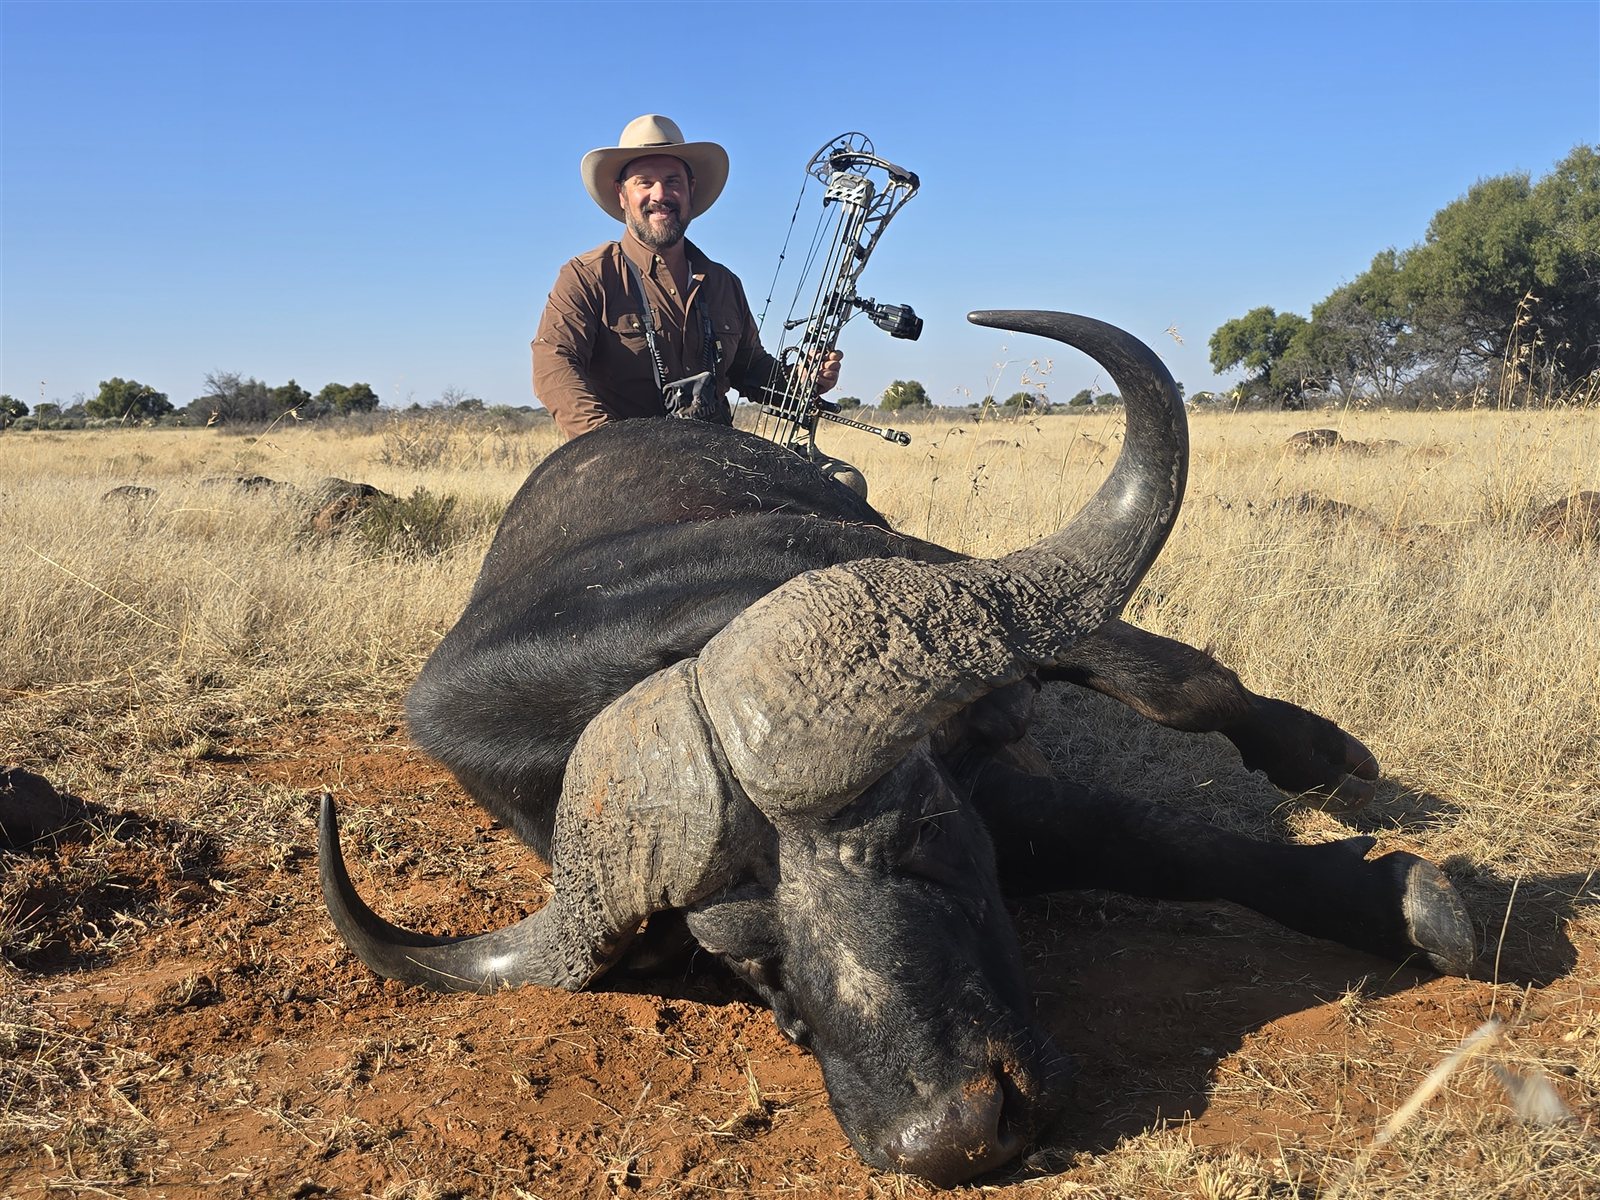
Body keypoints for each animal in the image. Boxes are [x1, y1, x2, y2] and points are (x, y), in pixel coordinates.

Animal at [320, 311, 1474, 1186]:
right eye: (741, 956)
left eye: (920, 841)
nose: (953, 1139)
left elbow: (1167, 764)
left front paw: (1417, 893)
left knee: (1170, 679)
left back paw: (1316, 750)